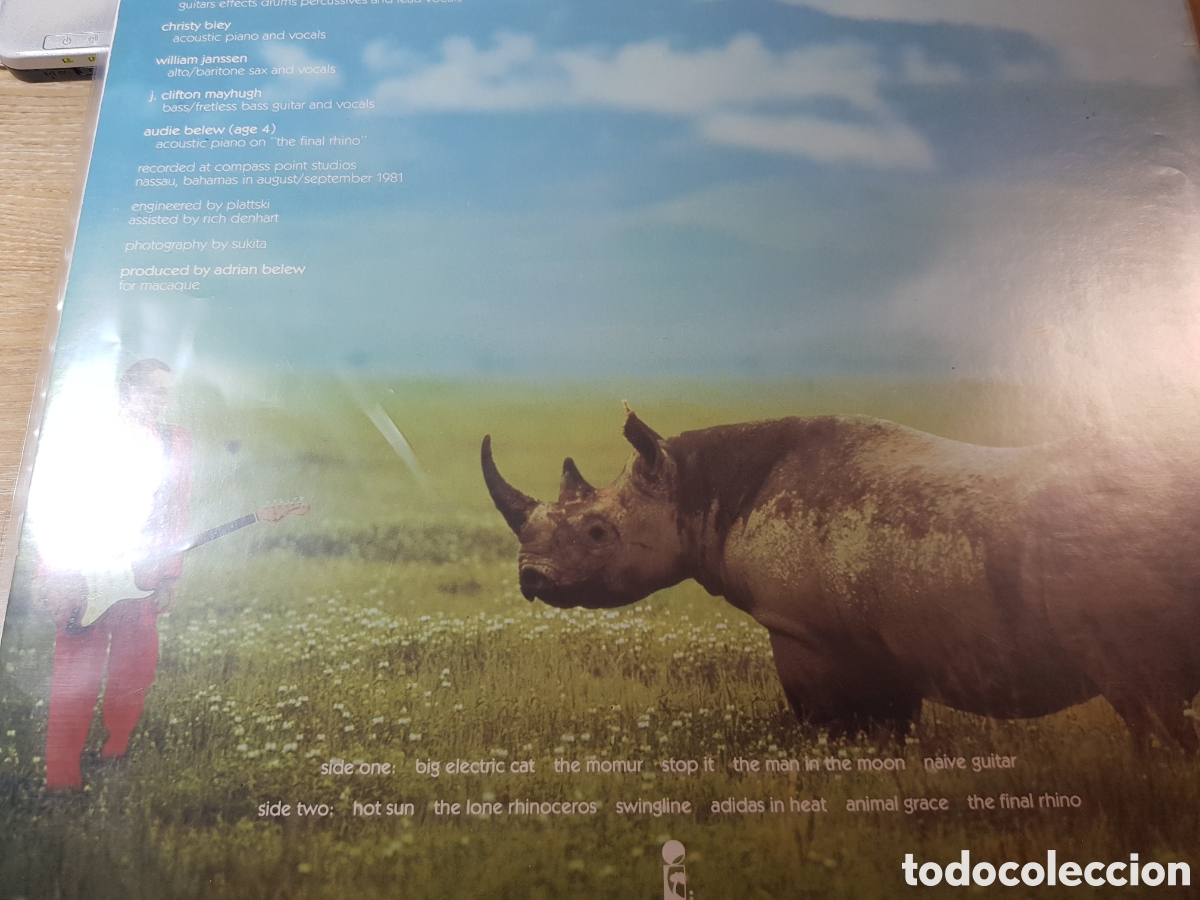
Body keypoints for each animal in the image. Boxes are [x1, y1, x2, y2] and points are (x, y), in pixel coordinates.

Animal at [482, 408, 1200, 746]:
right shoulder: (881, 639)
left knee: (1146, 704)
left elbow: (828, 721)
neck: (694, 491)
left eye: (597, 532)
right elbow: (893, 727)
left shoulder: (804, 631)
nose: (532, 579)